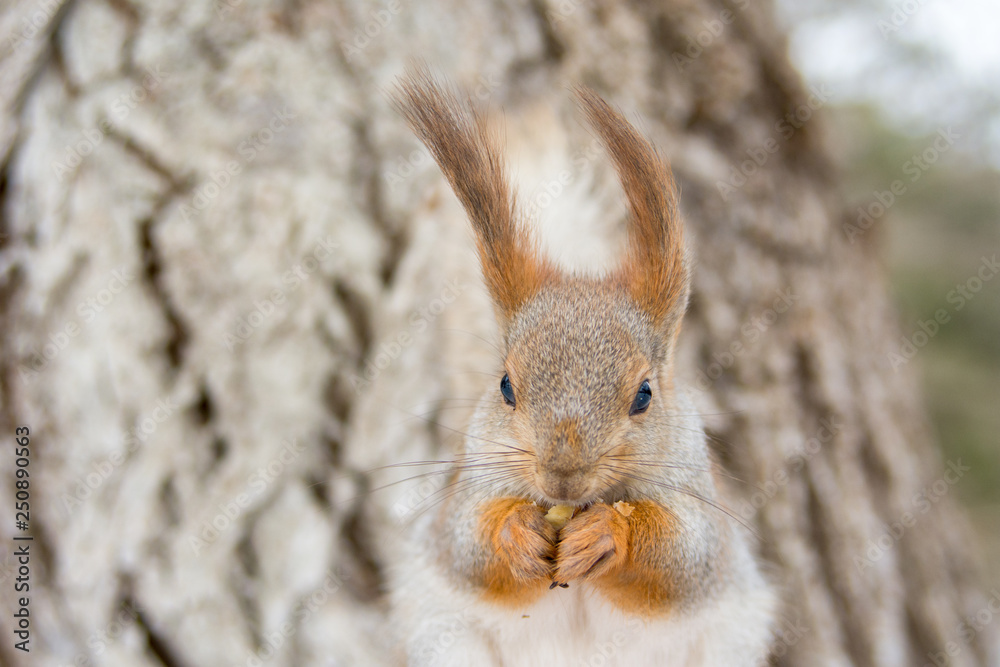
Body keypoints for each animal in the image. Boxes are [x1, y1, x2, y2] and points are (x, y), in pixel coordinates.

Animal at [387, 68, 777, 667]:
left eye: (644, 394)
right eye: (505, 386)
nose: (562, 478)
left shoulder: (699, 505)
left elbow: (683, 559)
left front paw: (610, 534)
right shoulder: (467, 491)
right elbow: (468, 545)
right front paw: (516, 531)